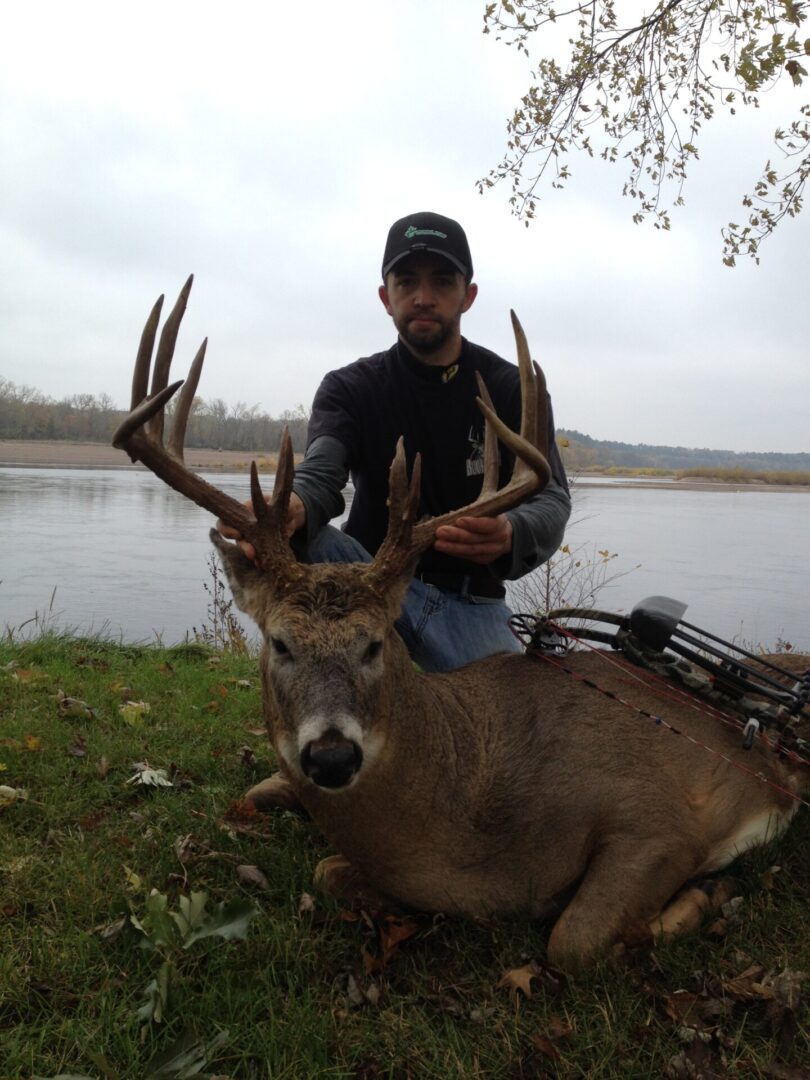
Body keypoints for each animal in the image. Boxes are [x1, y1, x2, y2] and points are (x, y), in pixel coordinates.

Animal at [113, 277, 809, 971]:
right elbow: (304, 846)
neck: (465, 817)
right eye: (280, 644)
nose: (332, 756)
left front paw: (711, 893)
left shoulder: (660, 818)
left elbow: (573, 940)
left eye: (375, 644)